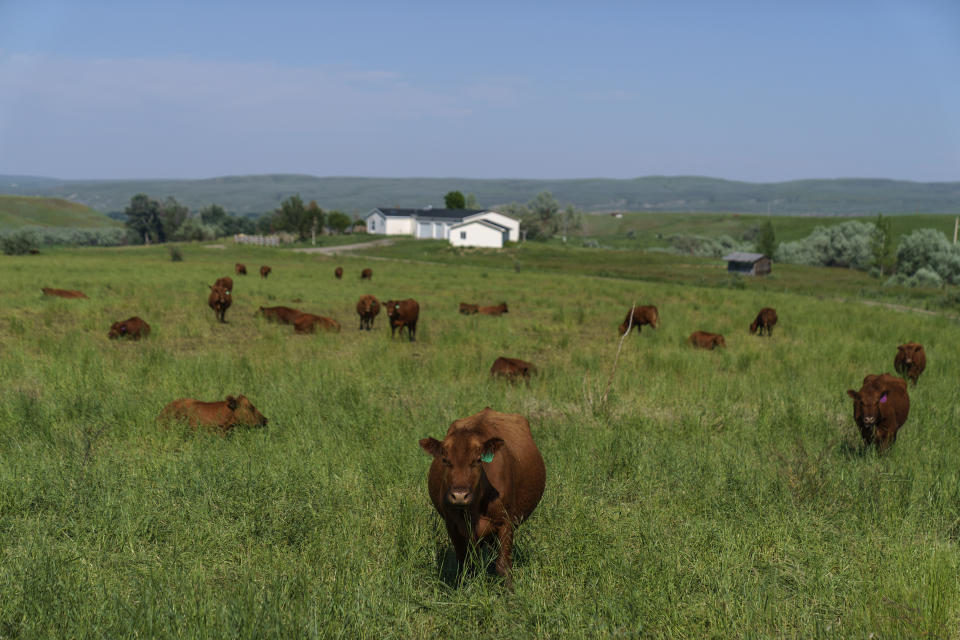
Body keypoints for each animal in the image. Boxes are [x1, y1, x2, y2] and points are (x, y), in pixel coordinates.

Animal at [420, 410, 548, 592]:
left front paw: (510, 594)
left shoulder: (506, 522)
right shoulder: (452, 524)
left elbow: (503, 564)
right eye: (445, 460)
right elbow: (464, 562)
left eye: (478, 460)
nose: (460, 495)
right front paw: (462, 590)